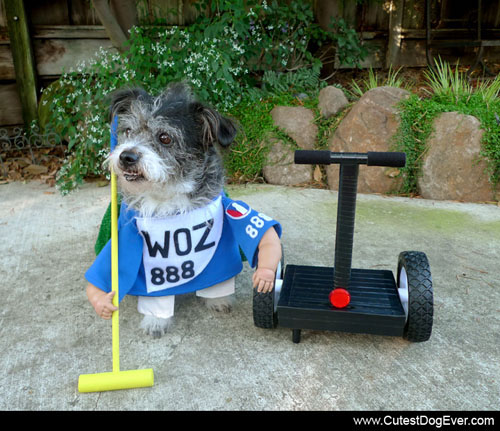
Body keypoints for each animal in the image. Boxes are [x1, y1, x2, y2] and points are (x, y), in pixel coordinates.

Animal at [85, 82, 282, 338]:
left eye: (165, 137)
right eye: (128, 131)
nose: (126, 156)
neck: (168, 197)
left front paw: (220, 300)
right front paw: (153, 321)